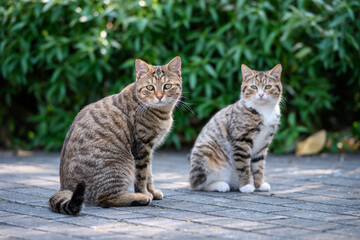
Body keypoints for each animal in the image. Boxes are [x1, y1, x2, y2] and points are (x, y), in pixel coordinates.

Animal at [49, 56, 181, 216]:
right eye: (150, 88)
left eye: (167, 86)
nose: (160, 96)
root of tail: (65, 188)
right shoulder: (142, 147)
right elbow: (142, 176)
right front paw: (145, 192)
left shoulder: (149, 149)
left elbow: (149, 174)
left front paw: (153, 192)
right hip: (121, 166)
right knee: (106, 200)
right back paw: (140, 197)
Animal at [187, 63, 282, 193]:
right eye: (253, 87)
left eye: (268, 86)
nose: (261, 94)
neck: (264, 111)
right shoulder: (240, 140)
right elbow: (243, 166)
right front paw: (246, 185)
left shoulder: (263, 143)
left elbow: (259, 166)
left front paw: (259, 184)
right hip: (206, 155)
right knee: (199, 185)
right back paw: (221, 185)